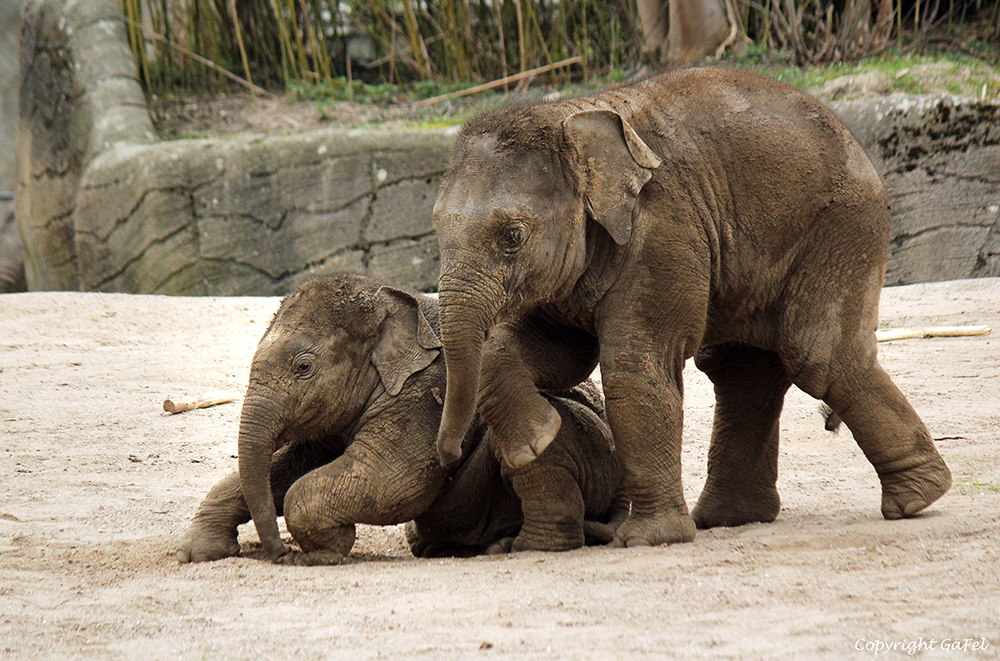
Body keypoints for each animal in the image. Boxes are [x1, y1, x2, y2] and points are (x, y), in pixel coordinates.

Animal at [176, 274, 620, 564]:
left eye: (303, 367)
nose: (278, 553)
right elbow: (288, 467)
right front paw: (199, 553)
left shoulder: (427, 394)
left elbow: (390, 479)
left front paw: (324, 552)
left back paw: (516, 547)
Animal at [434, 65, 948, 548]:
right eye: (437, 230)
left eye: (512, 237)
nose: (448, 456)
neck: (568, 116)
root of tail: (857, 145)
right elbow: (553, 355)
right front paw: (537, 440)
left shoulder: (664, 231)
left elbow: (633, 368)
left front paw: (648, 539)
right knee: (741, 370)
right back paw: (727, 518)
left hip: (841, 229)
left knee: (819, 356)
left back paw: (916, 500)